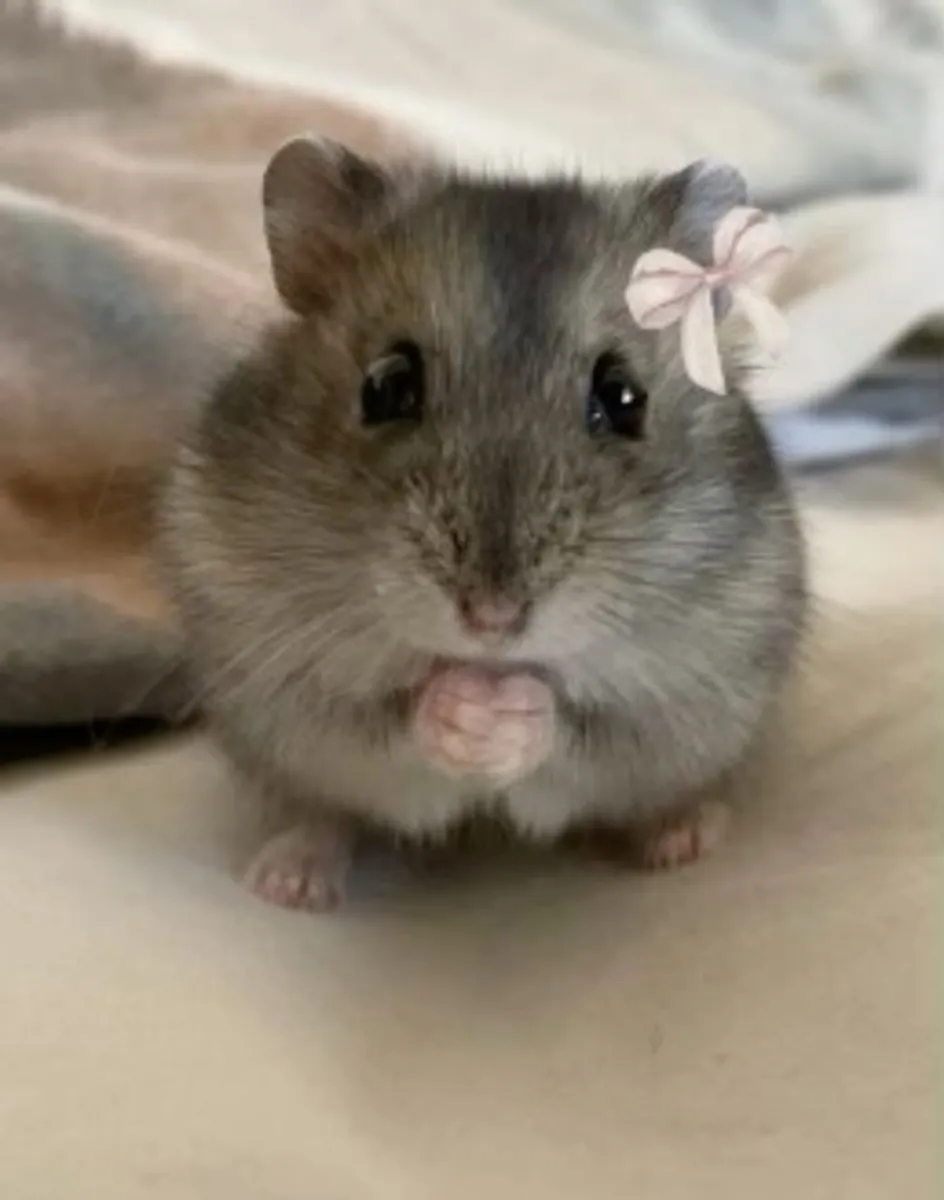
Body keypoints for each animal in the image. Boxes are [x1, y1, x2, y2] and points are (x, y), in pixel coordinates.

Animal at [161, 137, 806, 911]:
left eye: (625, 398)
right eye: (386, 386)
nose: (492, 621)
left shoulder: (685, 692)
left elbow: (570, 723)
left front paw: (505, 709)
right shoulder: (291, 689)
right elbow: (396, 721)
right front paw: (467, 707)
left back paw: (684, 838)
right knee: (324, 814)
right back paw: (286, 880)